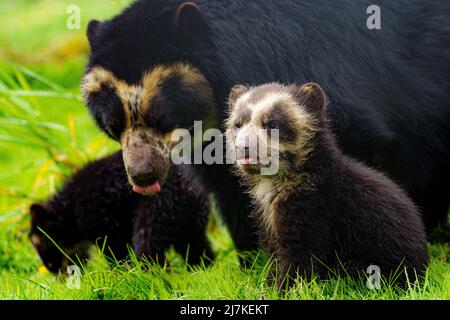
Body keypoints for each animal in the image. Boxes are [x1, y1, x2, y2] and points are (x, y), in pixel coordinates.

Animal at [81, 0, 450, 252]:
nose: (142, 177)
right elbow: (230, 186)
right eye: (112, 125)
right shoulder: (211, 140)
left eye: (163, 118)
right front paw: (252, 257)